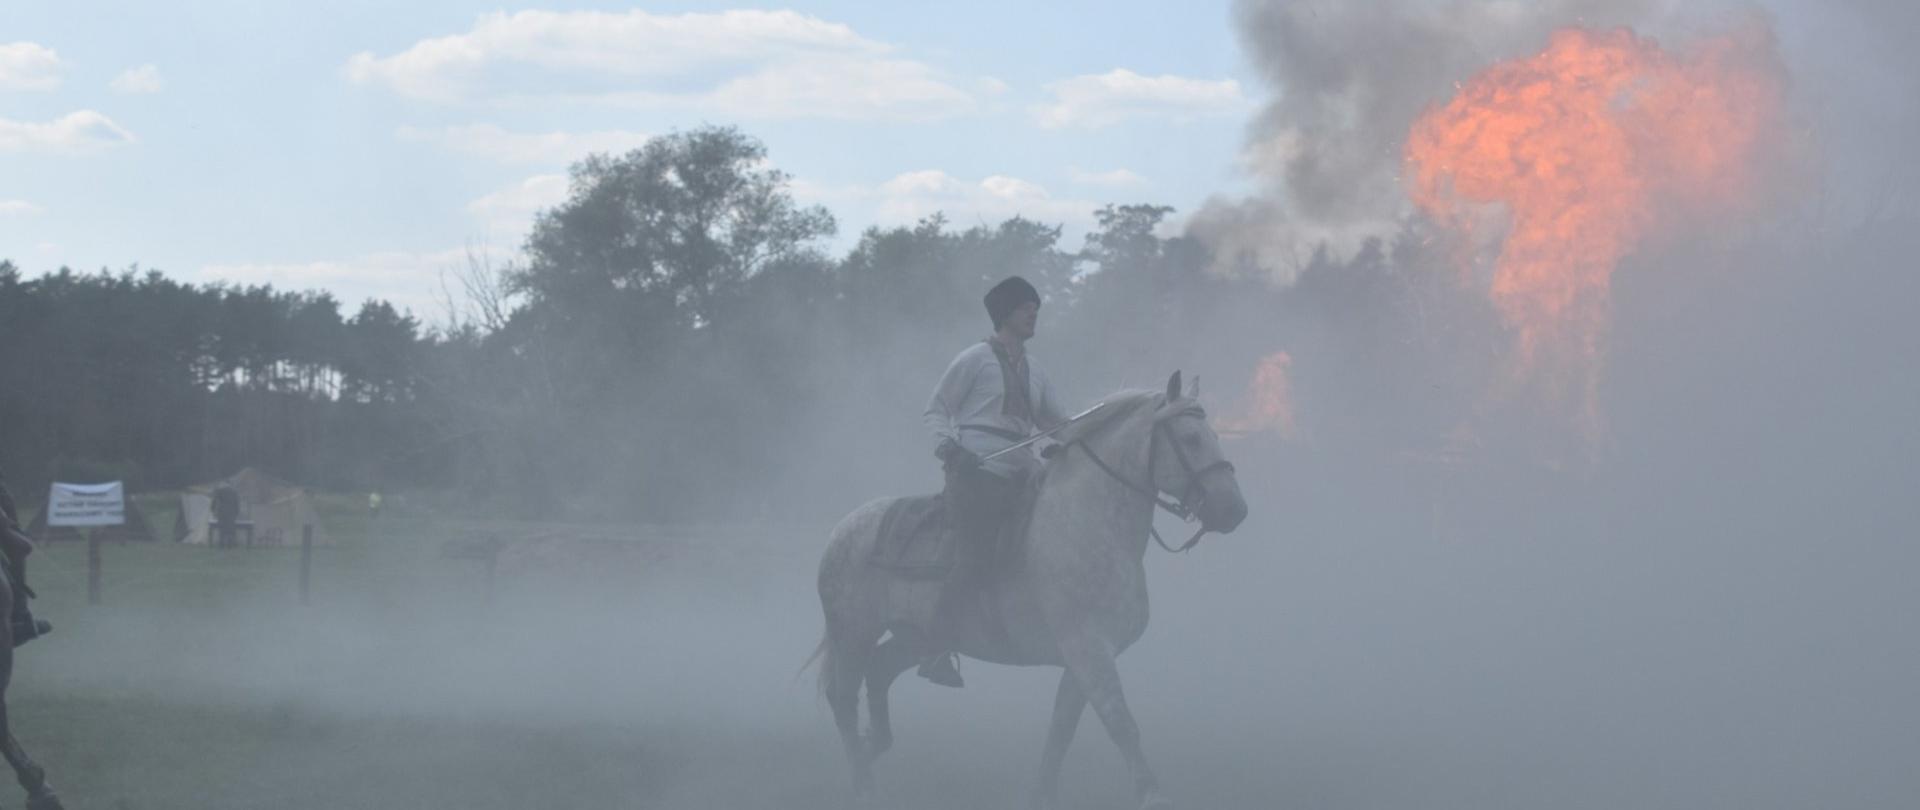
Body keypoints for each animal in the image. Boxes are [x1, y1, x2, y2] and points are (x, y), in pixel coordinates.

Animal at [817, 370, 1251, 806]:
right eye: (1191, 438)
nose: (1234, 510)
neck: (1087, 519)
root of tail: (840, 531)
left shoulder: (1080, 663)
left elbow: (1060, 733)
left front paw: (1042, 794)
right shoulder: (1090, 651)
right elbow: (1121, 723)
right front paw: (1152, 796)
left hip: (913, 639)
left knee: (879, 671)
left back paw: (873, 748)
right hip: (854, 634)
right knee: (843, 696)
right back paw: (863, 784)